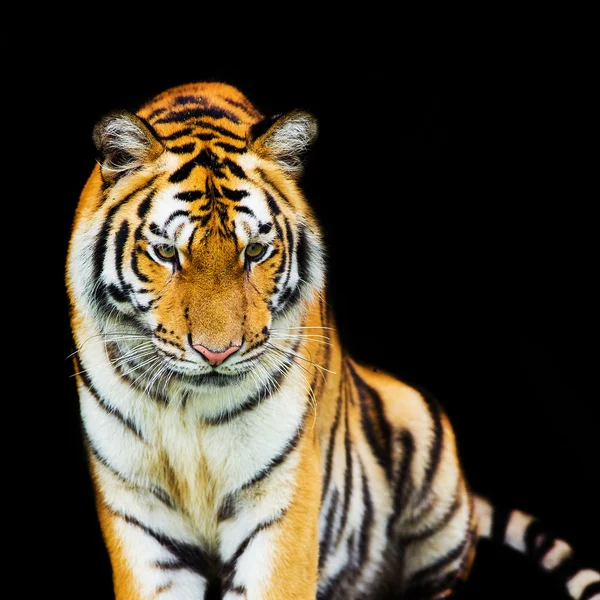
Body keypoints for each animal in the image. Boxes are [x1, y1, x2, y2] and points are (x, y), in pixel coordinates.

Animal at [63, 83, 596, 600]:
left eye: (255, 251)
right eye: (166, 253)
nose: (218, 353)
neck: (188, 406)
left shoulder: (281, 499)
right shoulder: (136, 508)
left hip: (425, 438)